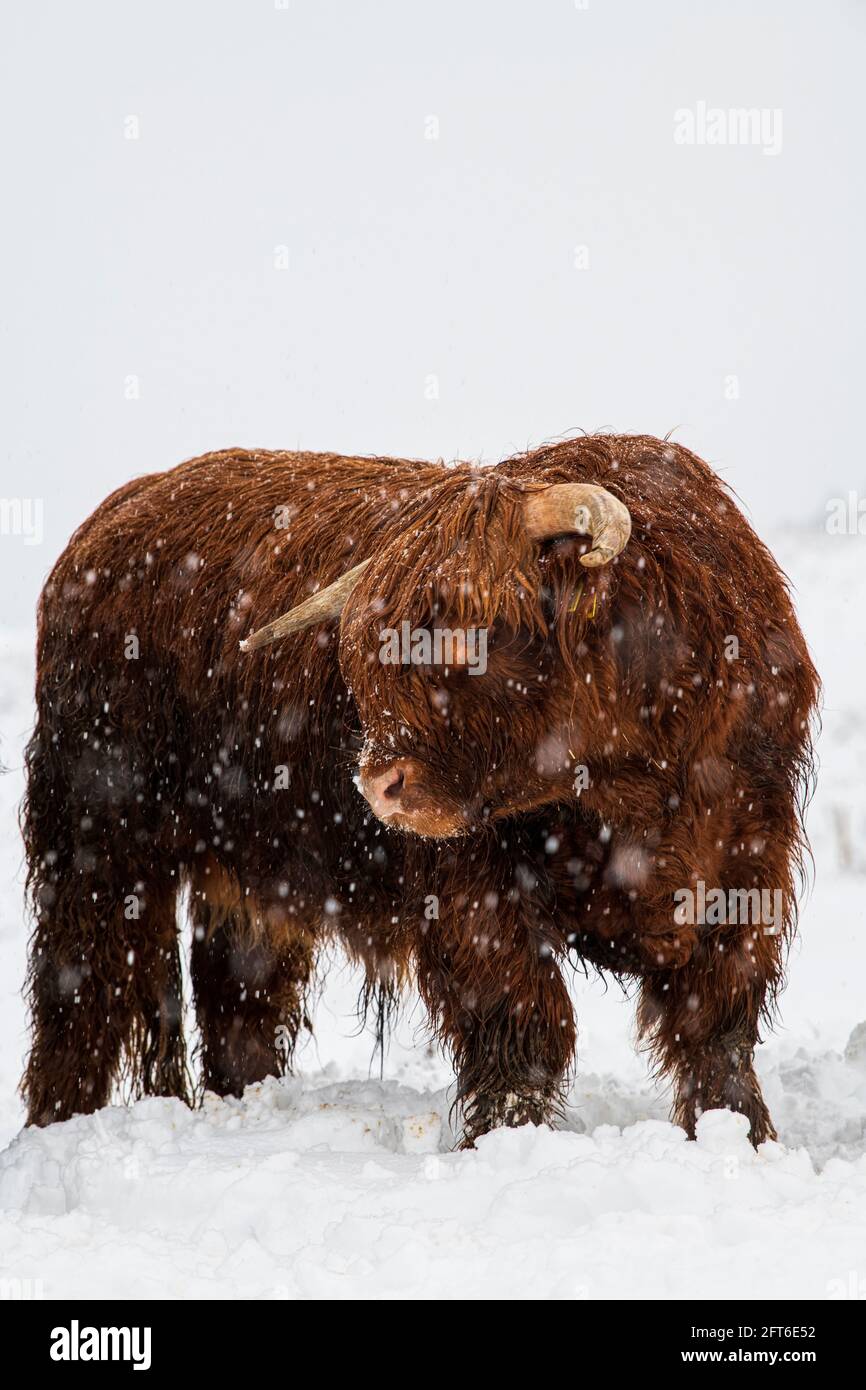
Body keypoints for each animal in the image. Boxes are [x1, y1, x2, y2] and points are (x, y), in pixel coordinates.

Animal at [20, 433, 817, 1139]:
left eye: (470, 634)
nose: (378, 784)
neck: (630, 791)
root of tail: (118, 514)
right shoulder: (474, 896)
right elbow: (521, 1023)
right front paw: (505, 1139)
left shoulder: (746, 865)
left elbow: (715, 1026)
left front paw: (740, 1135)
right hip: (96, 837)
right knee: (81, 988)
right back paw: (57, 1126)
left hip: (246, 867)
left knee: (239, 996)